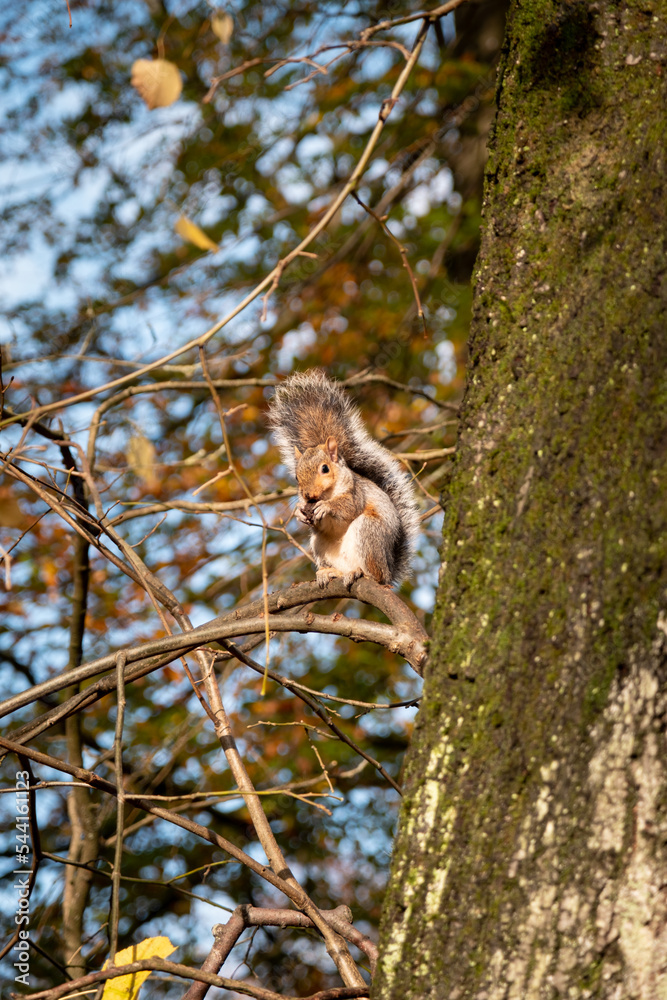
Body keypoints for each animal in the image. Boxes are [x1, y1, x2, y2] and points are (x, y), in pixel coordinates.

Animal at [268, 370, 419, 589]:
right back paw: (331, 572)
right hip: (319, 544)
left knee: (374, 574)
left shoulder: (356, 493)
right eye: (296, 476)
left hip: (368, 532)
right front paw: (299, 512)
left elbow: (348, 506)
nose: (308, 495)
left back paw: (361, 572)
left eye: (324, 468)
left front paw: (327, 507)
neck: (327, 493)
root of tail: (389, 571)